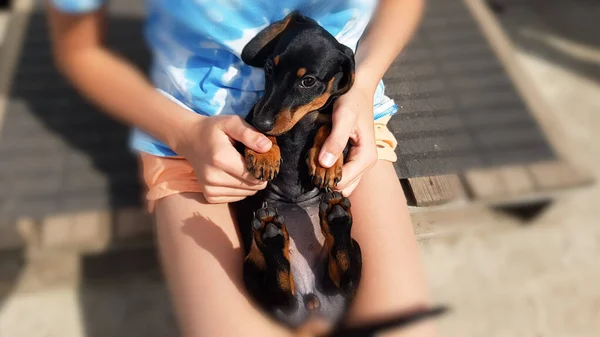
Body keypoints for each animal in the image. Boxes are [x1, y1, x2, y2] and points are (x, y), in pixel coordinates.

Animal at [233, 11, 446, 336]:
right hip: (251, 269)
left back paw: (335, 218)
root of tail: (313, 309)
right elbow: (255, 131)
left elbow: (330, 122)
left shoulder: (331, 122)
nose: (262, 122)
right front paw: (264, 152)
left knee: (344, 278)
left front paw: (324, 164)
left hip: (351, 256)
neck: (300, 122)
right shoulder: (252, 114)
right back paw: (274, 233)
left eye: (308, 81)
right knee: (282, 295)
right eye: (269, 67)